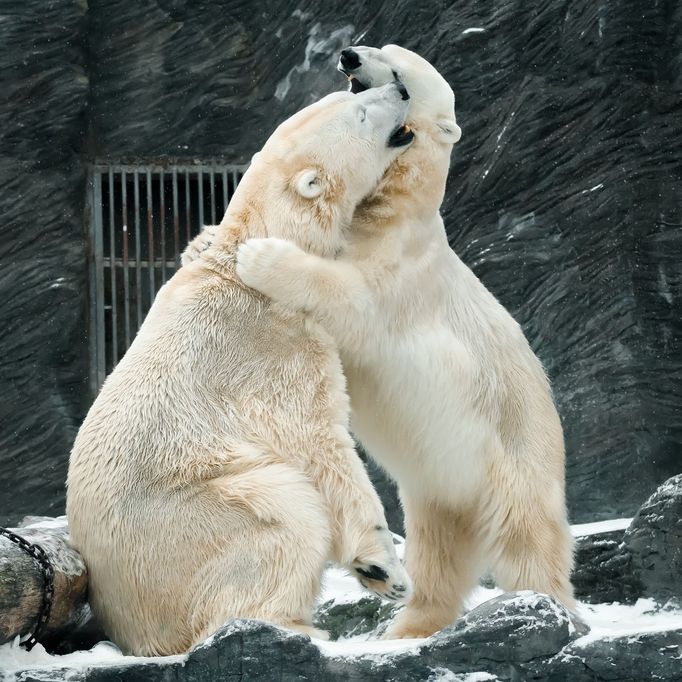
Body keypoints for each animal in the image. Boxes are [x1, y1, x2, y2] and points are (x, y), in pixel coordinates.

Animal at [67, 82, 414, 656]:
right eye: (362, 111)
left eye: (351, 91)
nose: (401, 87)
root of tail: (128, 626)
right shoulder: (274, 349)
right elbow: (321, 444)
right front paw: (384, 568)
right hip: (199, 521)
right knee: (285, 508)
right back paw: (295, 626)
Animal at [234, 43, 572, 636]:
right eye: (375, 48)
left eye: (401, 77)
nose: (348, 56)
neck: (389, 210)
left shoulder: (404, 274)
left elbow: (355, 299)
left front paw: (262, 256)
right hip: (438, 486)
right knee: (437, 554)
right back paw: (409, 626)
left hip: (516, 454)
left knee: (529, 539)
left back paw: (552, 608)